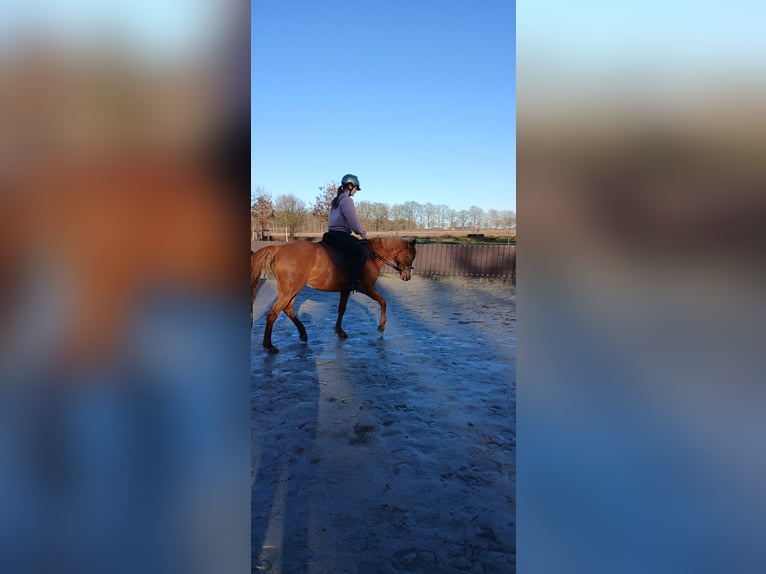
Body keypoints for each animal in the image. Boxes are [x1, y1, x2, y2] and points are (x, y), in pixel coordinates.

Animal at [250, 237, 416, 353]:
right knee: (273, 313)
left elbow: (341, 309)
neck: (372, 256)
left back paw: (303, 334)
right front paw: (381, 325)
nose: (407, 276)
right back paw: (269, 346)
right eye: (410, 257)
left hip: (291, 290)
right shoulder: (367, 287)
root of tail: (279, 249)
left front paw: (339, 331)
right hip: (290, 290)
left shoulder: (346, 290)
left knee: (288, 309)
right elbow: (383, 301)